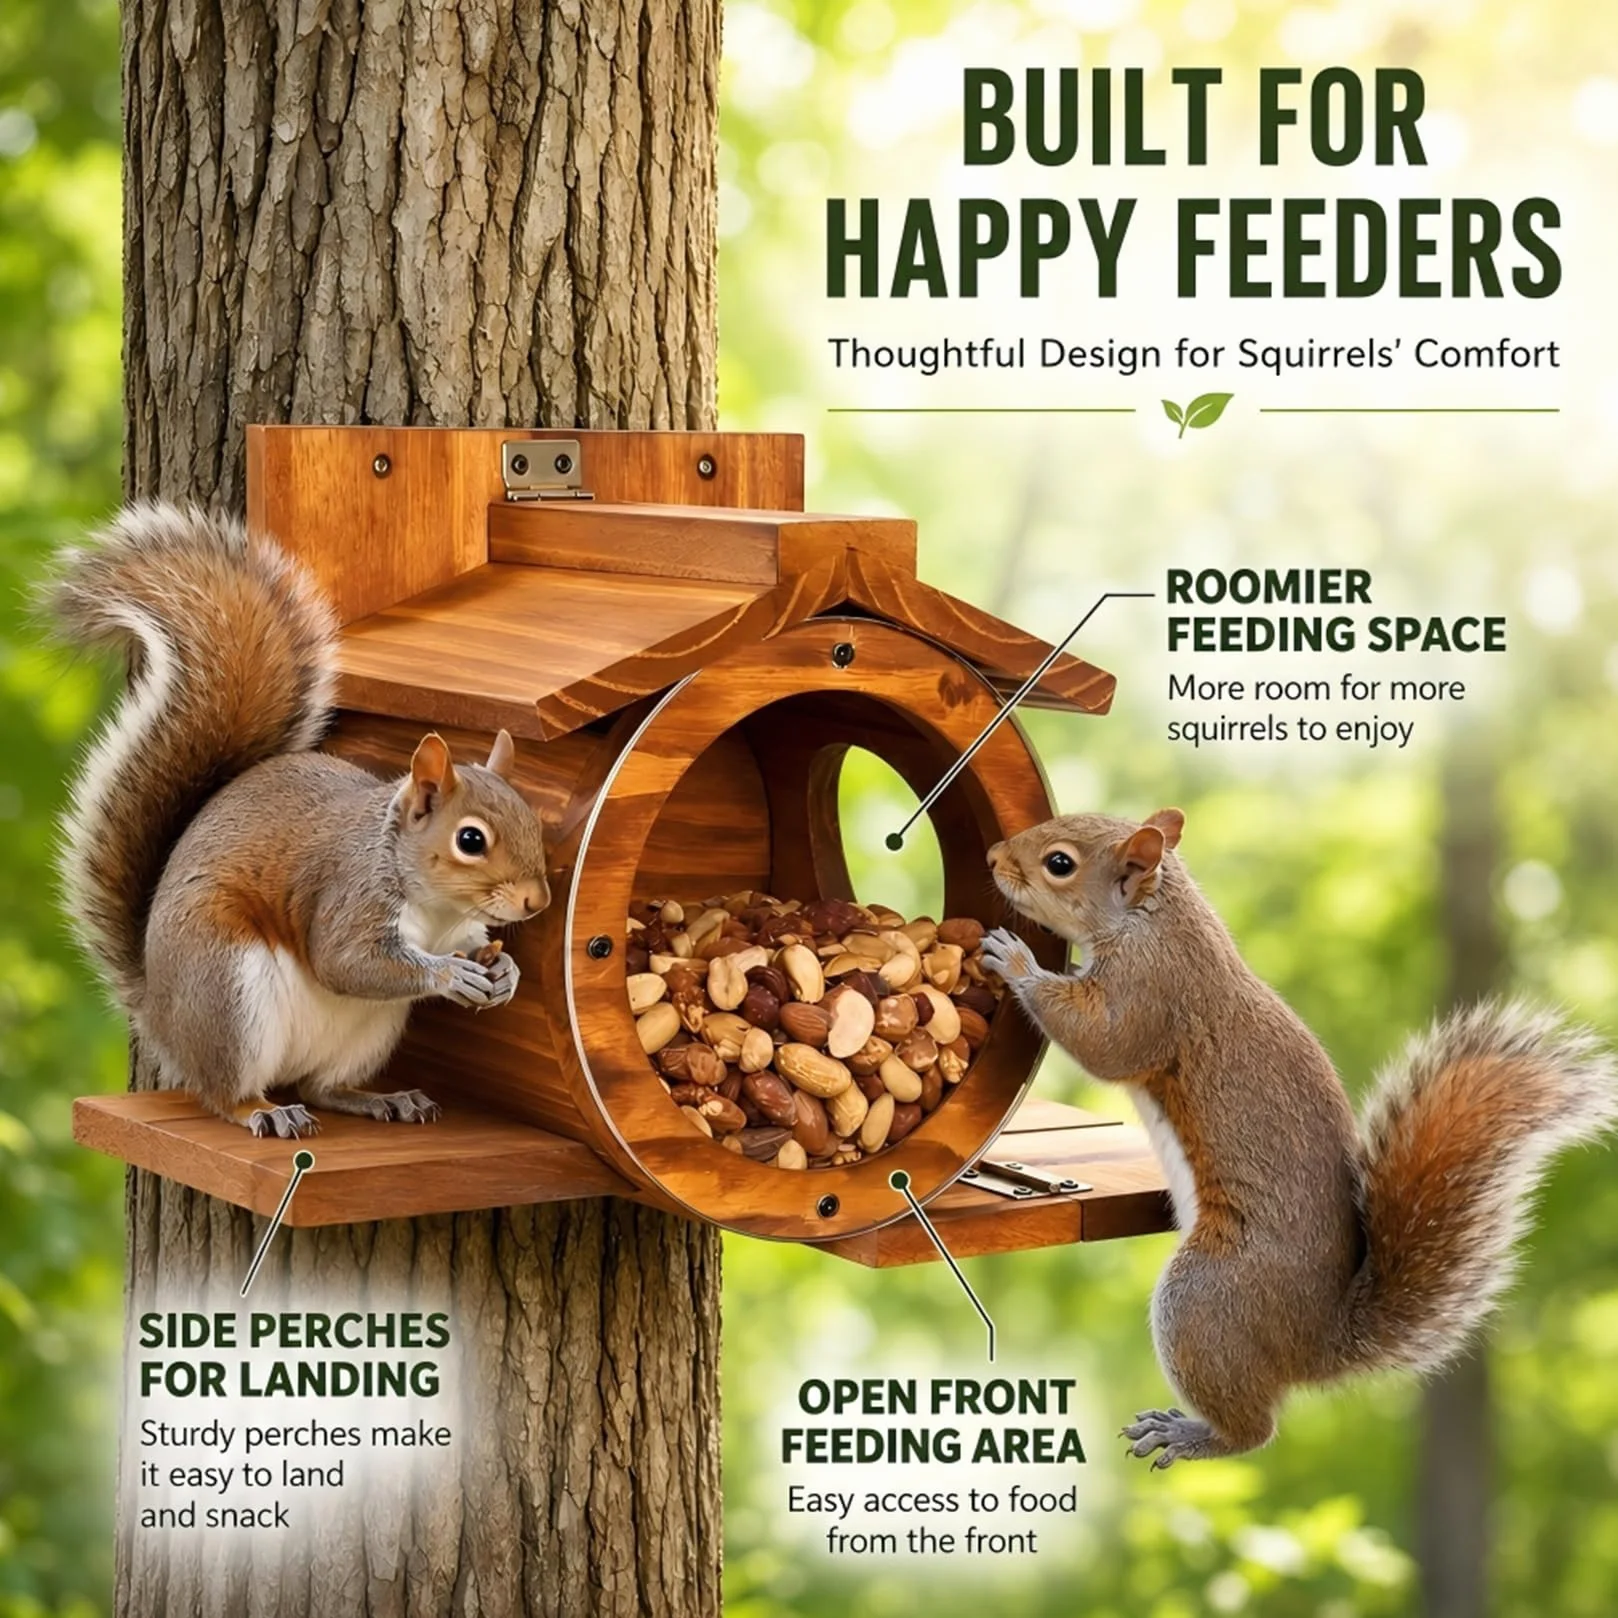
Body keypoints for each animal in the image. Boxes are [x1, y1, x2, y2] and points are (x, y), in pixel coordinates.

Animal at [48, 502, 550, 1140]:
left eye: (534, 822)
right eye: (471, 839)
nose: (537, 901)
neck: (435, 908)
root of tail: (161, 1013)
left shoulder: (458, 929)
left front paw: (505, 970)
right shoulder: (350, 898)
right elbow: (344, 962)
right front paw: (449, 977)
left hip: (370, 1030)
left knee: (322, 1086)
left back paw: (382, 1099)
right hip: (228, 992)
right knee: (224, 1093)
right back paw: (264, 1110)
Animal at [981, 808, 1615, 1469]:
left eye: (1060, 863)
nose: (993, 857)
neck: (1155, 921)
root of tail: (1315, 1344)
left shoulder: (1151, 994)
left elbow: (1105, 1042)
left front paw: (1016, 962)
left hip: (1204, 1298)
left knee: (1253, 1431)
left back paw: (1188, 1433)